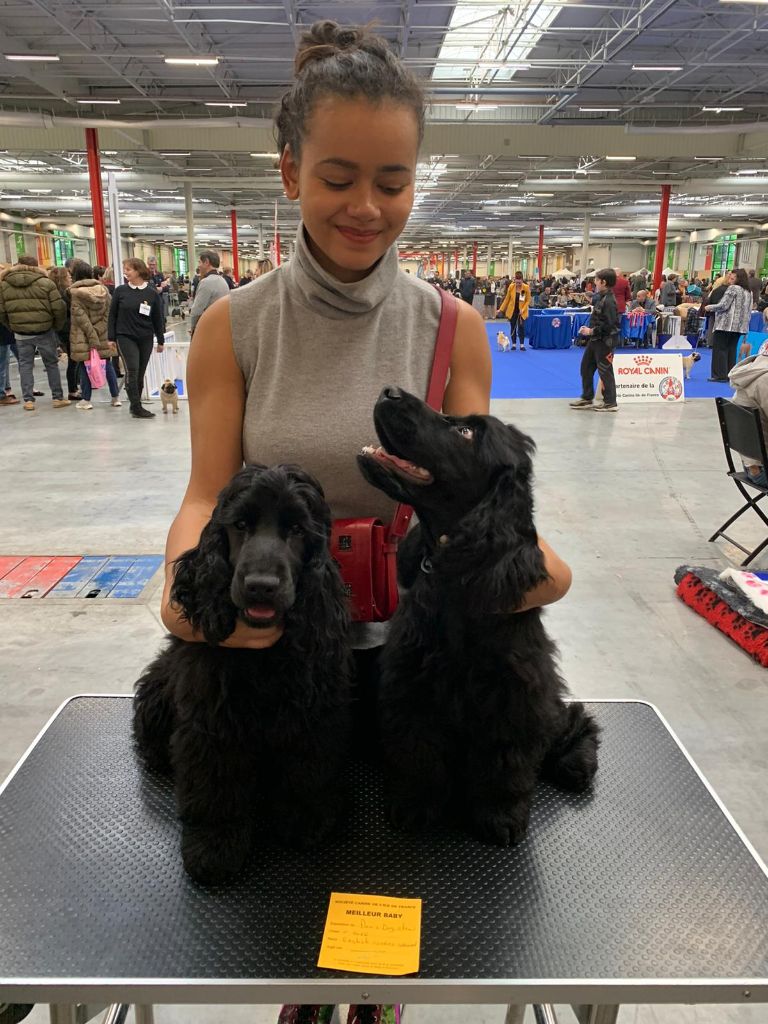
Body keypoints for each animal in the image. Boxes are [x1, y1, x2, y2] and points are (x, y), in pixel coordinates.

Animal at [134, 468, 354, 884]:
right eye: (239, 525)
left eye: (297, 529)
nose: (261, 586)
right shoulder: (211, 719)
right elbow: (215, 785)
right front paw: (213, 845)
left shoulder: (311, 712)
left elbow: (305, 771)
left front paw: (305, 818)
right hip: (160, 682)